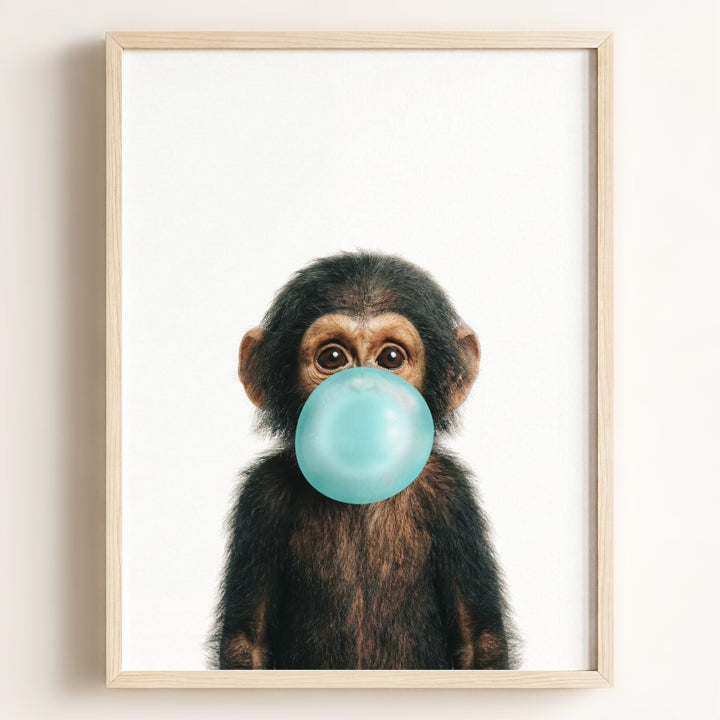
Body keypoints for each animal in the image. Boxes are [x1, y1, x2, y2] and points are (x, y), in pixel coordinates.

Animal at [211, 251, 518, 670]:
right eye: (332, 357)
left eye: (390, 357)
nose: (362, 388)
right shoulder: (261, 495)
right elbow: (246, 641)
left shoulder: (452, 494)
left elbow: (479, 639)